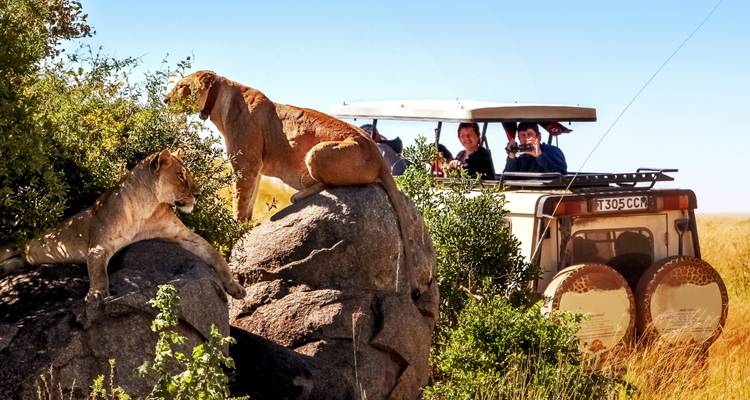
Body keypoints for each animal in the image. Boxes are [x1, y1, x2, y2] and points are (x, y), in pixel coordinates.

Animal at [0, 149, 246, 302]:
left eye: (188, 175)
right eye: (180, 176)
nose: (198, 194)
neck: (147, 208)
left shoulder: (183, 235)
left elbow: (215, 254)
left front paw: (234, 286)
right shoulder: (99, 246)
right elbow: (99, 272)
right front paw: (97, 294)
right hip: (9, 246)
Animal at [165, 71, 415, 290]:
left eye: (181, 86)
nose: (166, 100)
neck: (220, 100)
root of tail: (378, 154)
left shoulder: (246, 164)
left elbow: (240, 201)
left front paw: (236, 232)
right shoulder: (256, 169)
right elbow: (250, 199)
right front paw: (247, 227)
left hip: (316, 153)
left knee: (330, 184)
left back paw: (299, 194)